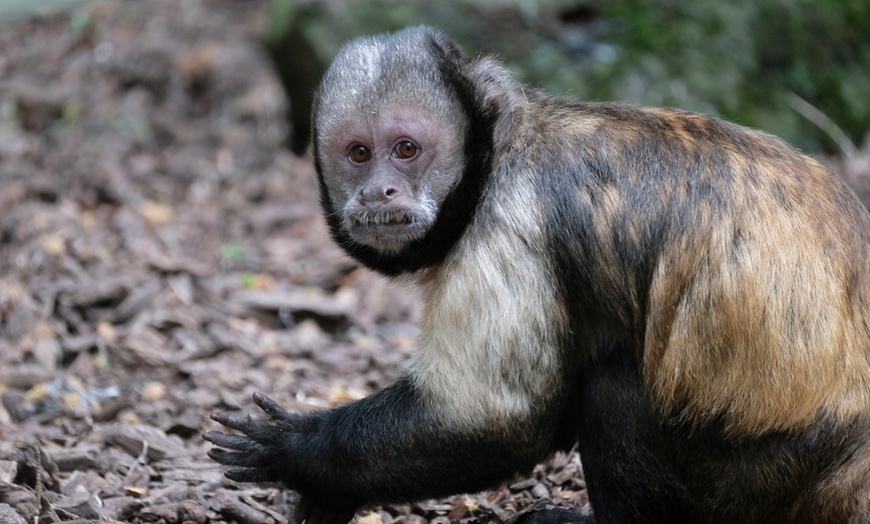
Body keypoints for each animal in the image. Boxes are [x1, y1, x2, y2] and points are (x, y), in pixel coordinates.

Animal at [206, 25, 870, 524]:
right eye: (359, 153)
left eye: (406, 149)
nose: (379, 191)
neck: (500, 156)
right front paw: (328, 493)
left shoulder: (512, 222)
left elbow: (497, 421)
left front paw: (298, 454)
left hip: (767, 478)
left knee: (617, 385)